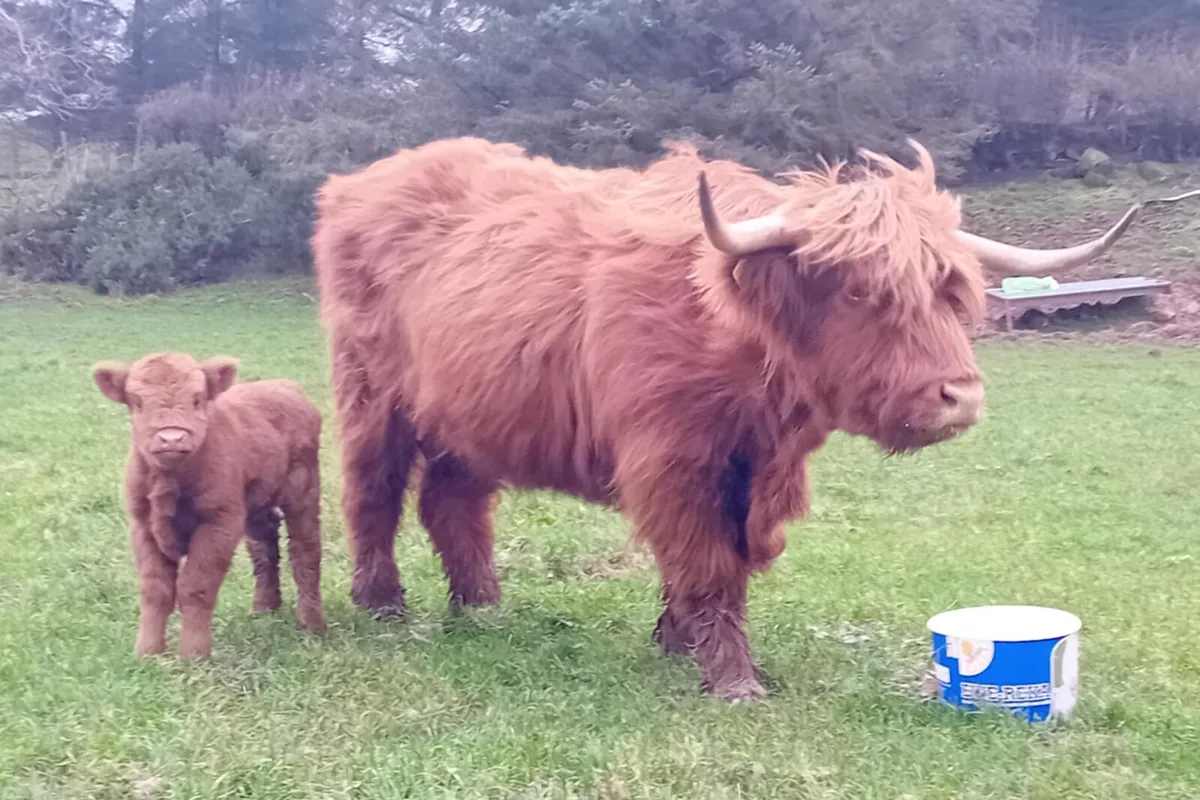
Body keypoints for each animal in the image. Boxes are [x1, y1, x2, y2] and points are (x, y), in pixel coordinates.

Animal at [92, 352, 328, 660]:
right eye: (137, 401)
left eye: (197, 399)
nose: (171, 438)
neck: (170, 481)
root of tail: (284, 386)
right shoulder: (143, 527)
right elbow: (155, 590)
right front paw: (147, 652)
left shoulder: (219, 523)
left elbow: (196, 587)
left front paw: (193, 655)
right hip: (255, 504)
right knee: (264, 548)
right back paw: (265, 608)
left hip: (303, 491)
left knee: (305, 552)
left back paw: (312, 625)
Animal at [310, 136, 1152, 701]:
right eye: (860, 291)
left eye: (952, 290)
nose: (960, 396)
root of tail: (358, 182)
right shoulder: (671, 457)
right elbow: (706, 559)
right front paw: (731, 678)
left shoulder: (760, 466)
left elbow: (730, 560)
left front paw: (677, 640)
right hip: (372, 391)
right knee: (372, 490)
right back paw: (383, 606)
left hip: (470, 406)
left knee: (452, 500)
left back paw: (481, 607)